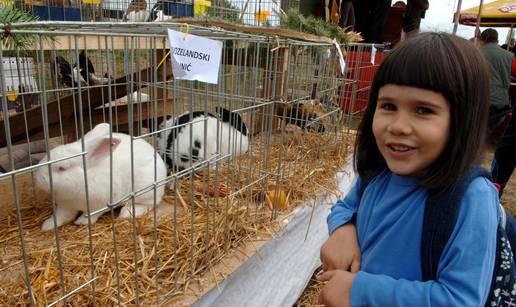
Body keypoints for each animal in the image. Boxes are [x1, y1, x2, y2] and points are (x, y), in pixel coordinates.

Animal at [36, 122, 165, 231]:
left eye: (62, 168)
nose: (39, 179)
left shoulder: (100, 204)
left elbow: (90, 215)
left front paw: (81, 221)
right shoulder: (65, 206)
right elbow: (61, 216)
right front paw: (47, 225)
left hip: (145, 190)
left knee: (149, 204)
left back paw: (127, 212)